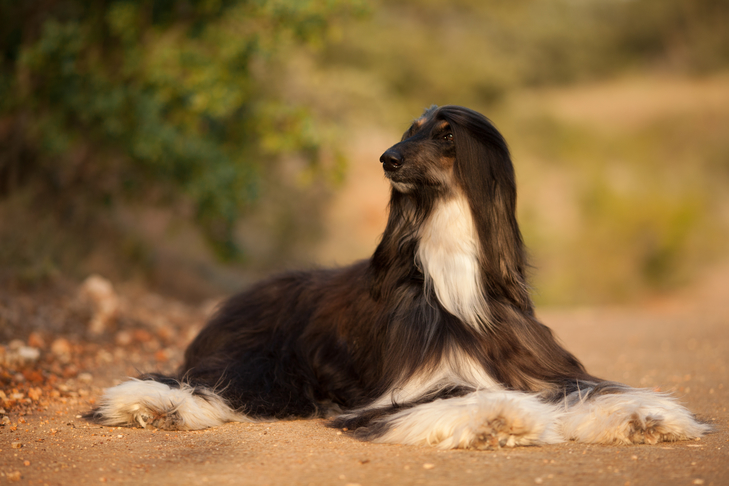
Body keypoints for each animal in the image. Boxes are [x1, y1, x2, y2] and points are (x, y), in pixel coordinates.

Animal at [88, 105, 708, 448]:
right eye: (408, 130)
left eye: (446, 134)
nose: (386, 158)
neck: (450, 269)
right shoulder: (405, 388)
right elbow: (456, 396)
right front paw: (497, 418)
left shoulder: (539, 370)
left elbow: (588, 391)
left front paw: (647, 415)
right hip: (265, 363)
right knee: (204, 383)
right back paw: (149, 405)